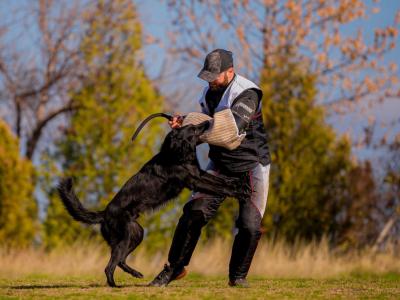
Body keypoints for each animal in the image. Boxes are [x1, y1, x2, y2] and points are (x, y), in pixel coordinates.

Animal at [57, 120, 248, 288]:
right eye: (193, 129)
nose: (208, 122)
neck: (176, 156)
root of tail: (104, 213)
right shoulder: (194, 181)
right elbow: (218, 187)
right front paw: (238, 191)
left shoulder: (199, 174)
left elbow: (218, 181)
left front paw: (236, 184)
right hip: (126, 236)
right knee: (110, 265)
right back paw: (114, 286)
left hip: (136, 233)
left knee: (120, 260)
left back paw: (136, 274)